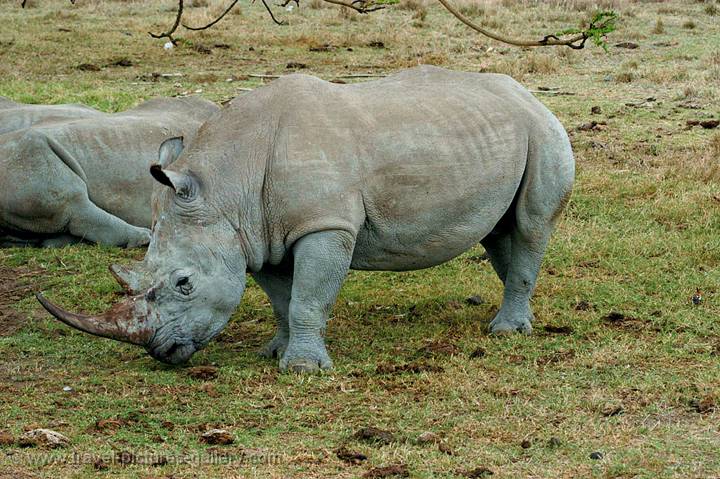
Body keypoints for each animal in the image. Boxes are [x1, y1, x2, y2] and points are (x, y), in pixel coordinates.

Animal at [38, 64, 572, 372]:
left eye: (184, 283)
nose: (161, 353)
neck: (226, 186)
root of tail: (526, 93)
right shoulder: (257, 236)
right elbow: (282, 298)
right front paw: (274, 352)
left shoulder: (325, 224)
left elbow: (308, 298)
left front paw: (302, 370)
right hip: (494, 131)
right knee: (499, 232)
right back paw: (517, 317)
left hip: (543, 129)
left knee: (530, 225)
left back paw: (506, 332)